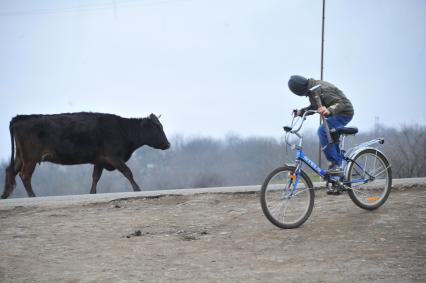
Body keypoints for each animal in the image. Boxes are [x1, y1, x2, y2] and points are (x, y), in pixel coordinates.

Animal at [0, 112, 170, 199]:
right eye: (157, 128)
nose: (168, 144)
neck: (123, 129)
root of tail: (19, 118)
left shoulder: (100, 160)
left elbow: (95, 177)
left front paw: (92, 193)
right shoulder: (113, 157)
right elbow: (128, 171)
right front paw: (137, 189)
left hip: (21, 156)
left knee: (10, 171)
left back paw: (5, 195)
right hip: (31, 158)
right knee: (24, 175)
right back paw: (32, 195)